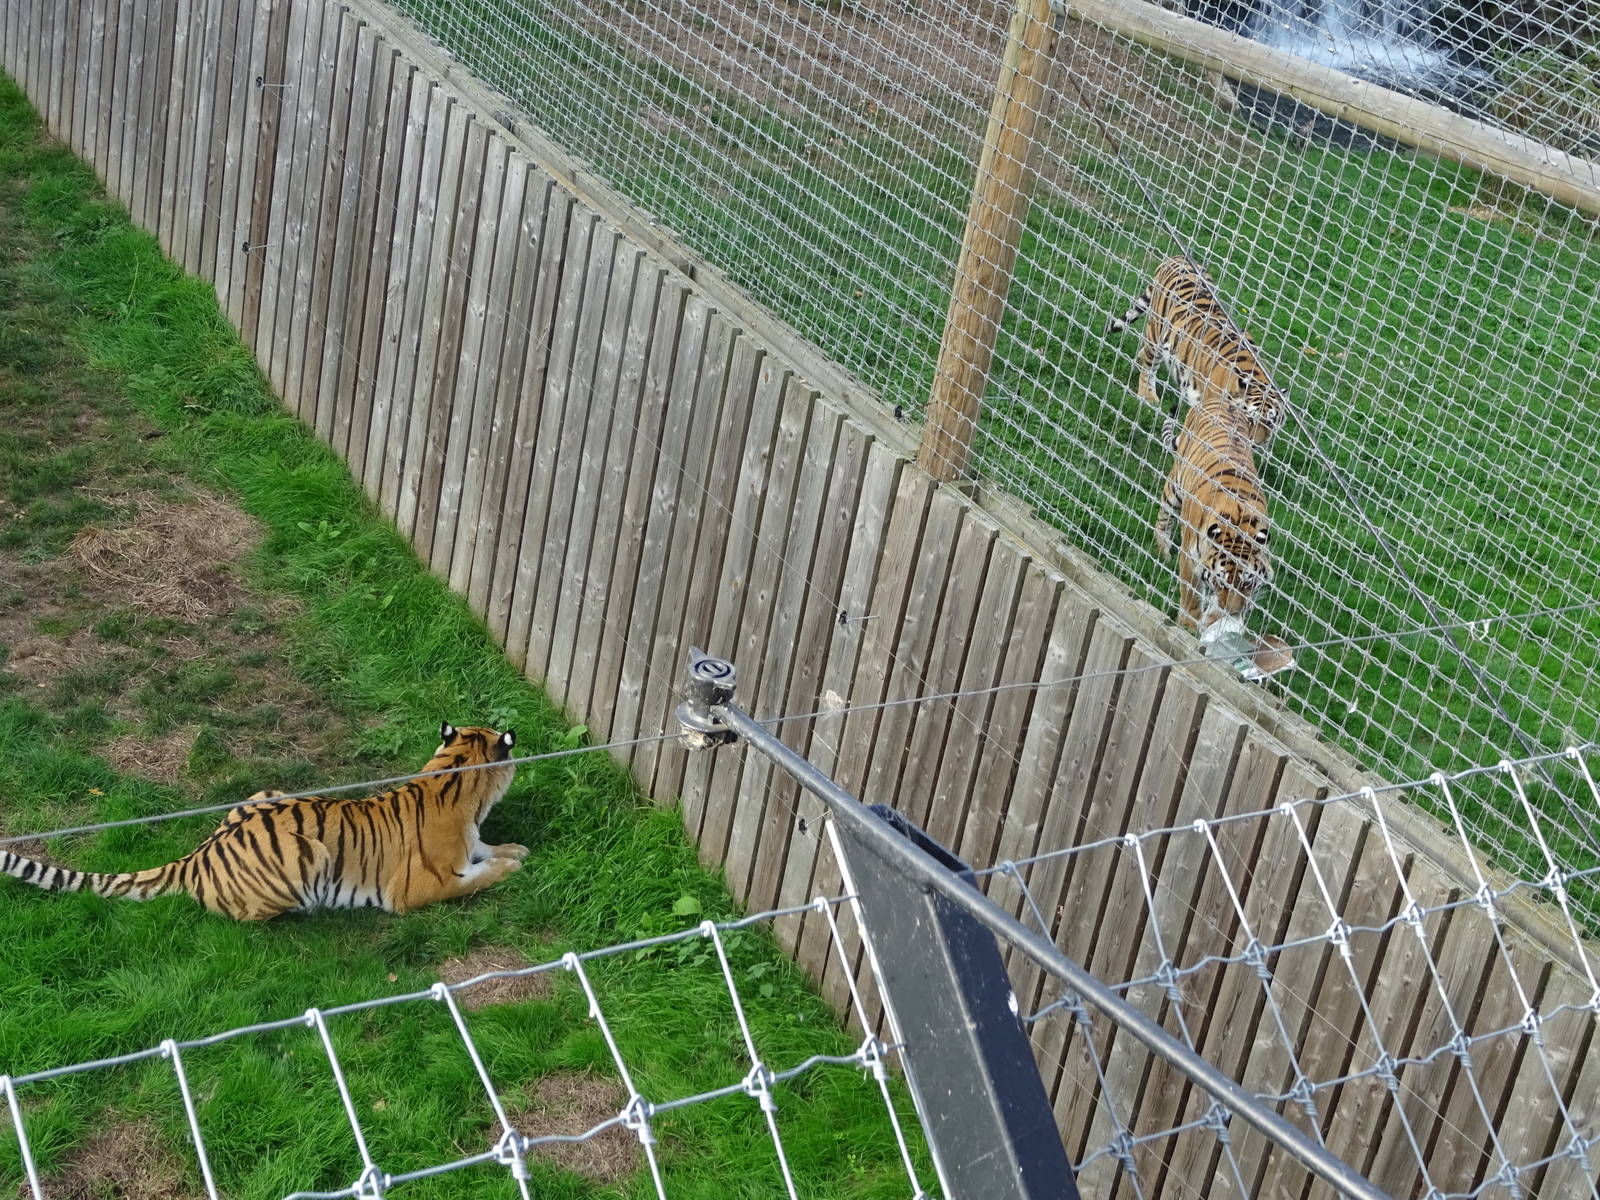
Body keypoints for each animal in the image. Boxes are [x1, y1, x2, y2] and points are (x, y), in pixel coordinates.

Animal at [0, 723, 525, 921]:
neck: (456, 776)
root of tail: (195, 858)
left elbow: (485, 848)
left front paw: (513, 850)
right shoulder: (417, 889)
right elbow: (475, 879)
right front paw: (511, 867)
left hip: (266, 793)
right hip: (305, 855)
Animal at [1106, 254, 1287, 451]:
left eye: (1269, 423)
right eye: (1249, 419)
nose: (1255, 445)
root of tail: (1178, 258)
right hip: (1157, 330)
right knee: (1149, 366)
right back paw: (1148, 396)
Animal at [1156, 378, 1273, 636]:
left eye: (1247, 582)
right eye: (1221, 582)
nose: (1234, 611)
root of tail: (1220, 400)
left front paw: (1216, 622)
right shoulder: (1190, 558)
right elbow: (1191, 594)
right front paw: (1189, 625)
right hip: (1175, 485)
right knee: (1164, 516)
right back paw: (1162, 549)